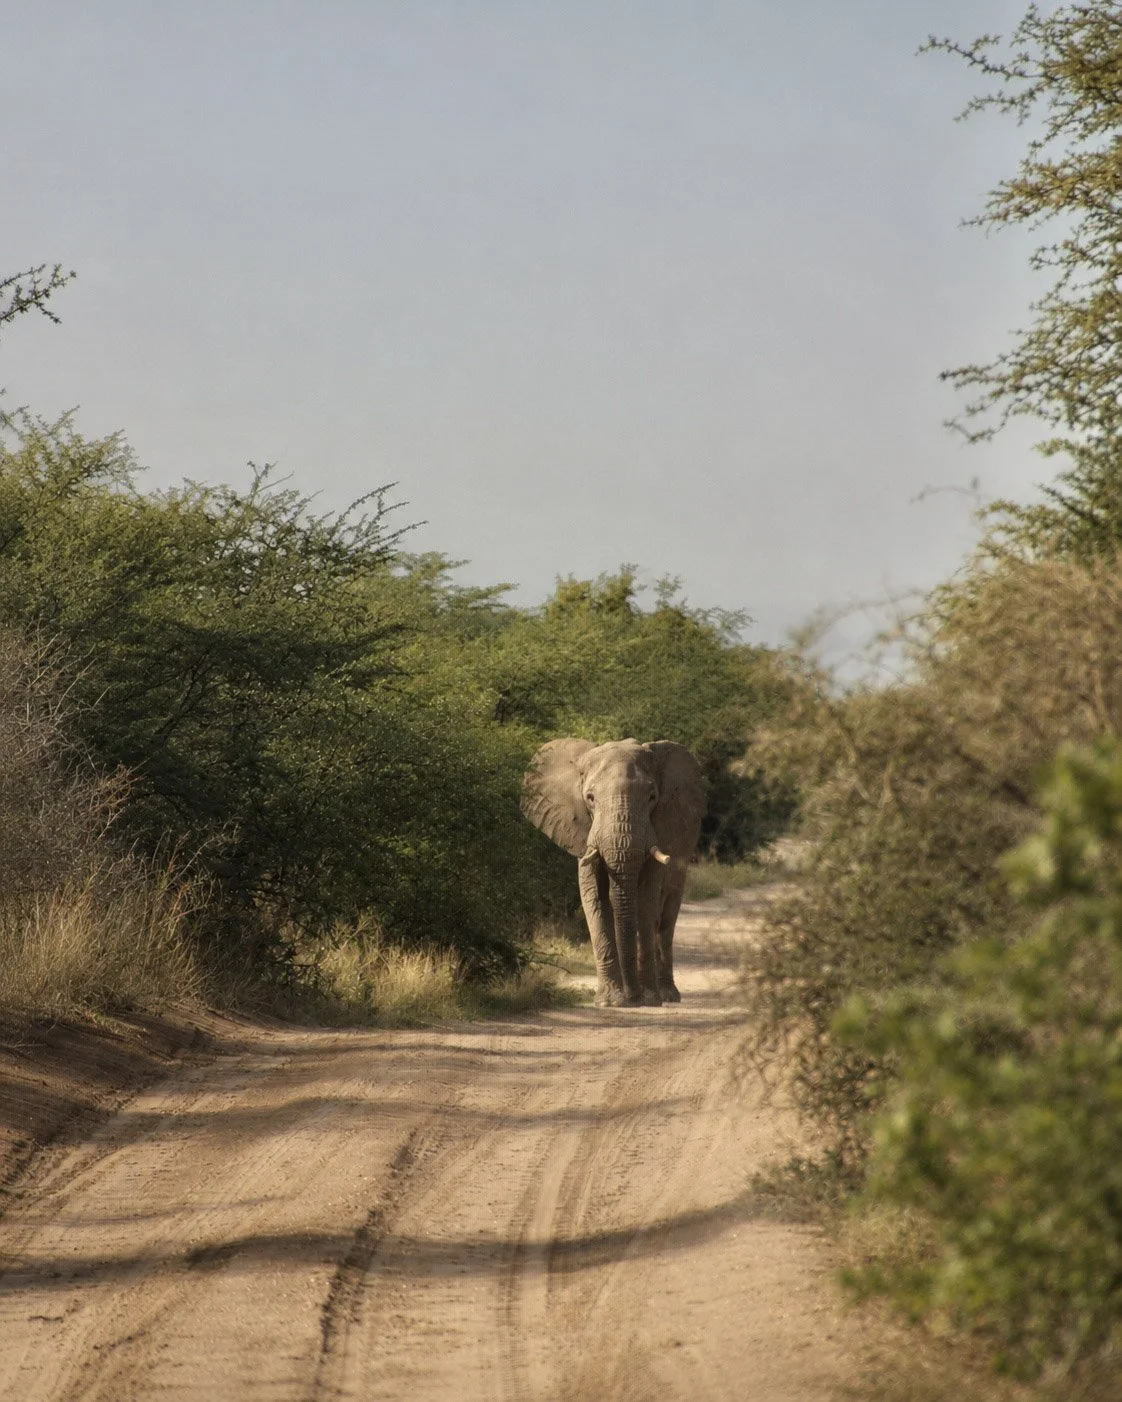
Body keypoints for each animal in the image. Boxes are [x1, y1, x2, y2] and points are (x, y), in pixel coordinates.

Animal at [522, 738, 705, 1008]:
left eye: (652, 797)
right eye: (590, 798)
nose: (633, 998)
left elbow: (646, 901)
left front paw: (647, 999)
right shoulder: (583, 834)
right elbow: (595, 898)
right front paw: (610, 1002)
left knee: (665, 917)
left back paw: (667, 996)